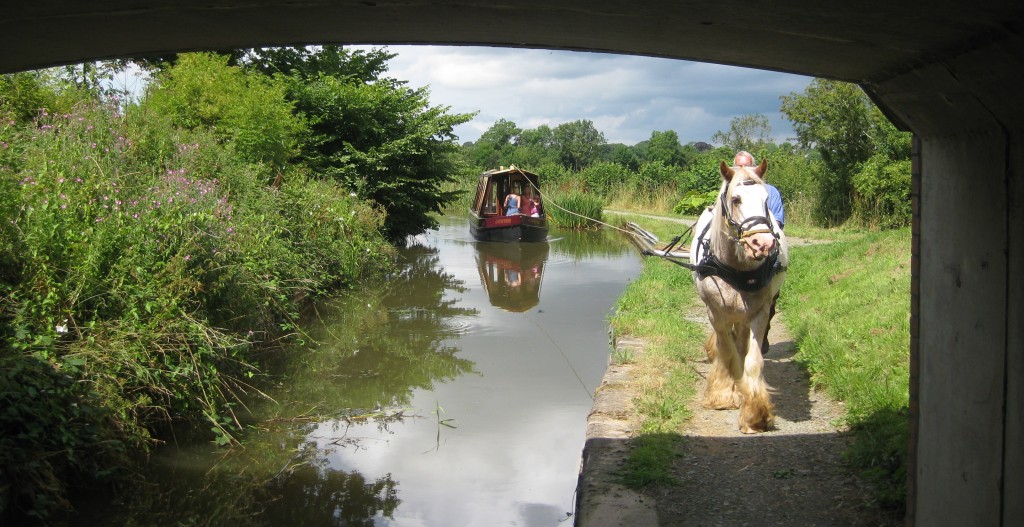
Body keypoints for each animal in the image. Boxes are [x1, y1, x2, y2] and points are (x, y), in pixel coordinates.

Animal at [692, 159, 786, 433]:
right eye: (736, 199)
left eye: (766, 199)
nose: (763, 243)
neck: (735, 268)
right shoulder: (715, 312)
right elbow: (728, 354)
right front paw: (723, 394)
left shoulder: (759, 312)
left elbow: (751, 360)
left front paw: (755, 412)